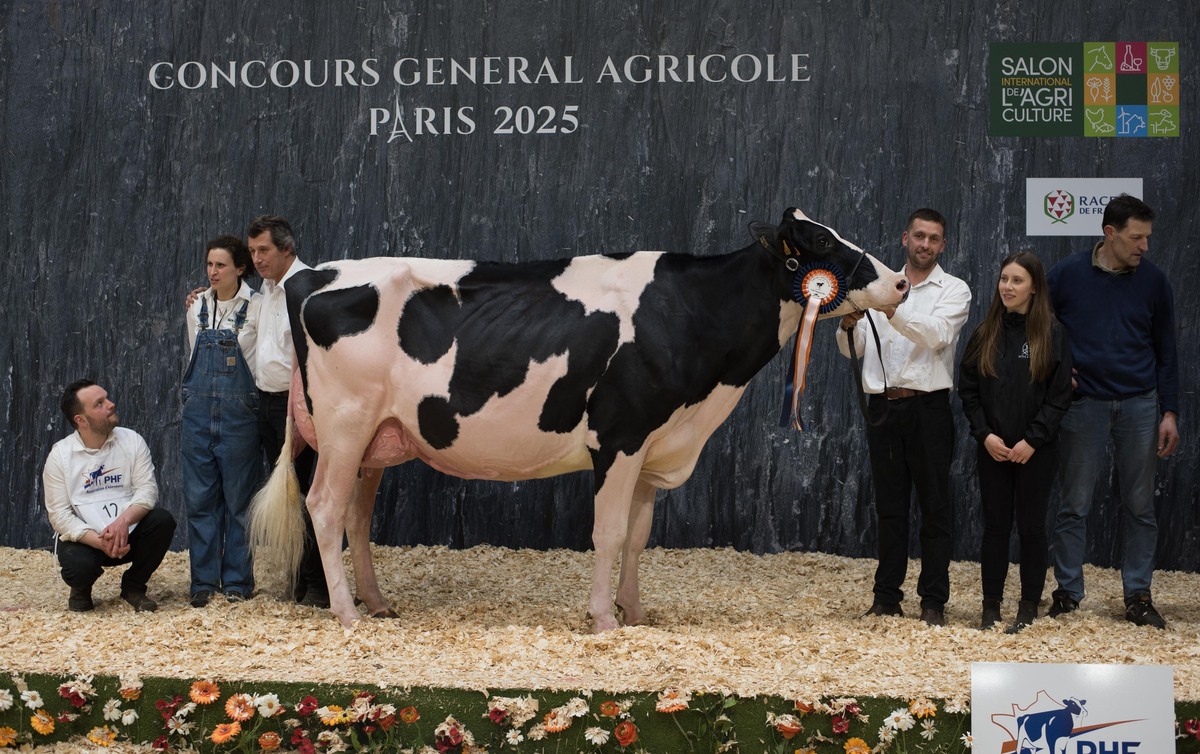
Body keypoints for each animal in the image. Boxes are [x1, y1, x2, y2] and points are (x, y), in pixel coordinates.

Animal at [253, 208, 907, 633]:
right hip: (345, 425)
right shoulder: (618, 437)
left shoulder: (653, 446)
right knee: (324, 507)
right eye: (818, 242)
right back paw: (346, 615)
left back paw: (377, 603)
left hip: (379, 438)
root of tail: (312, 274)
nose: (901, 280)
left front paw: (635, 614)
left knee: (356, 518)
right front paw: (602, 621)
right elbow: (609, 533)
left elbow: (639, 538)